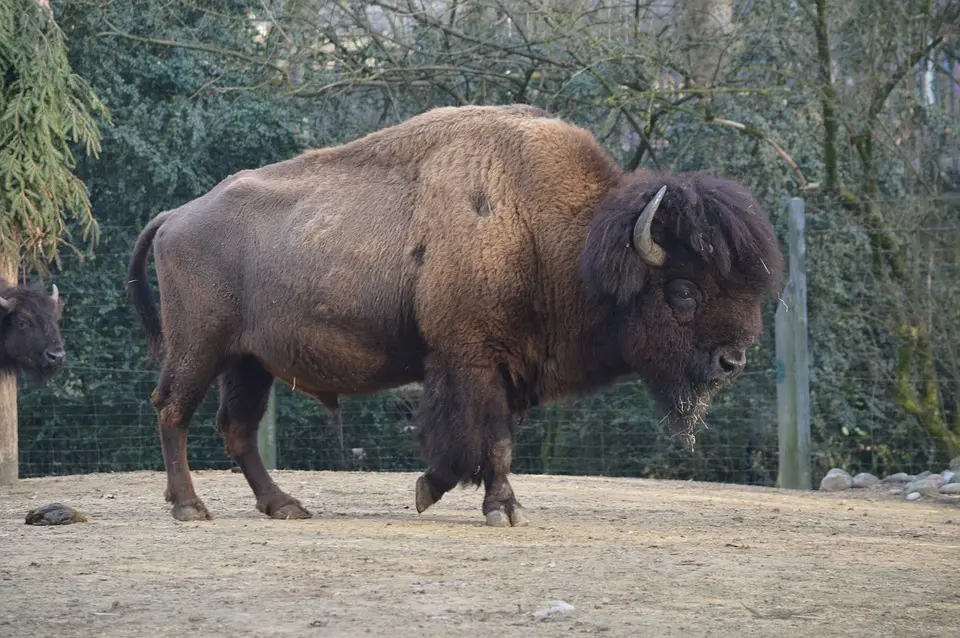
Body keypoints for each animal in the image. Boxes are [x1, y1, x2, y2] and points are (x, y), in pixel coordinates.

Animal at [127, 104, 784, 524]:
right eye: (683, 291)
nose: (731, 361)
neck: (556, 235)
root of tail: (177, 215)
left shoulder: (504, 368)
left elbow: (484, 443)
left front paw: (440, 492)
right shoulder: (472, 362)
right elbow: (485, 439)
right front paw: (497, 508)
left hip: (249, 361)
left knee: (236, 428)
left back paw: (284, 505)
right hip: (199, 347)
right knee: (172, 411)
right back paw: (190, 507)